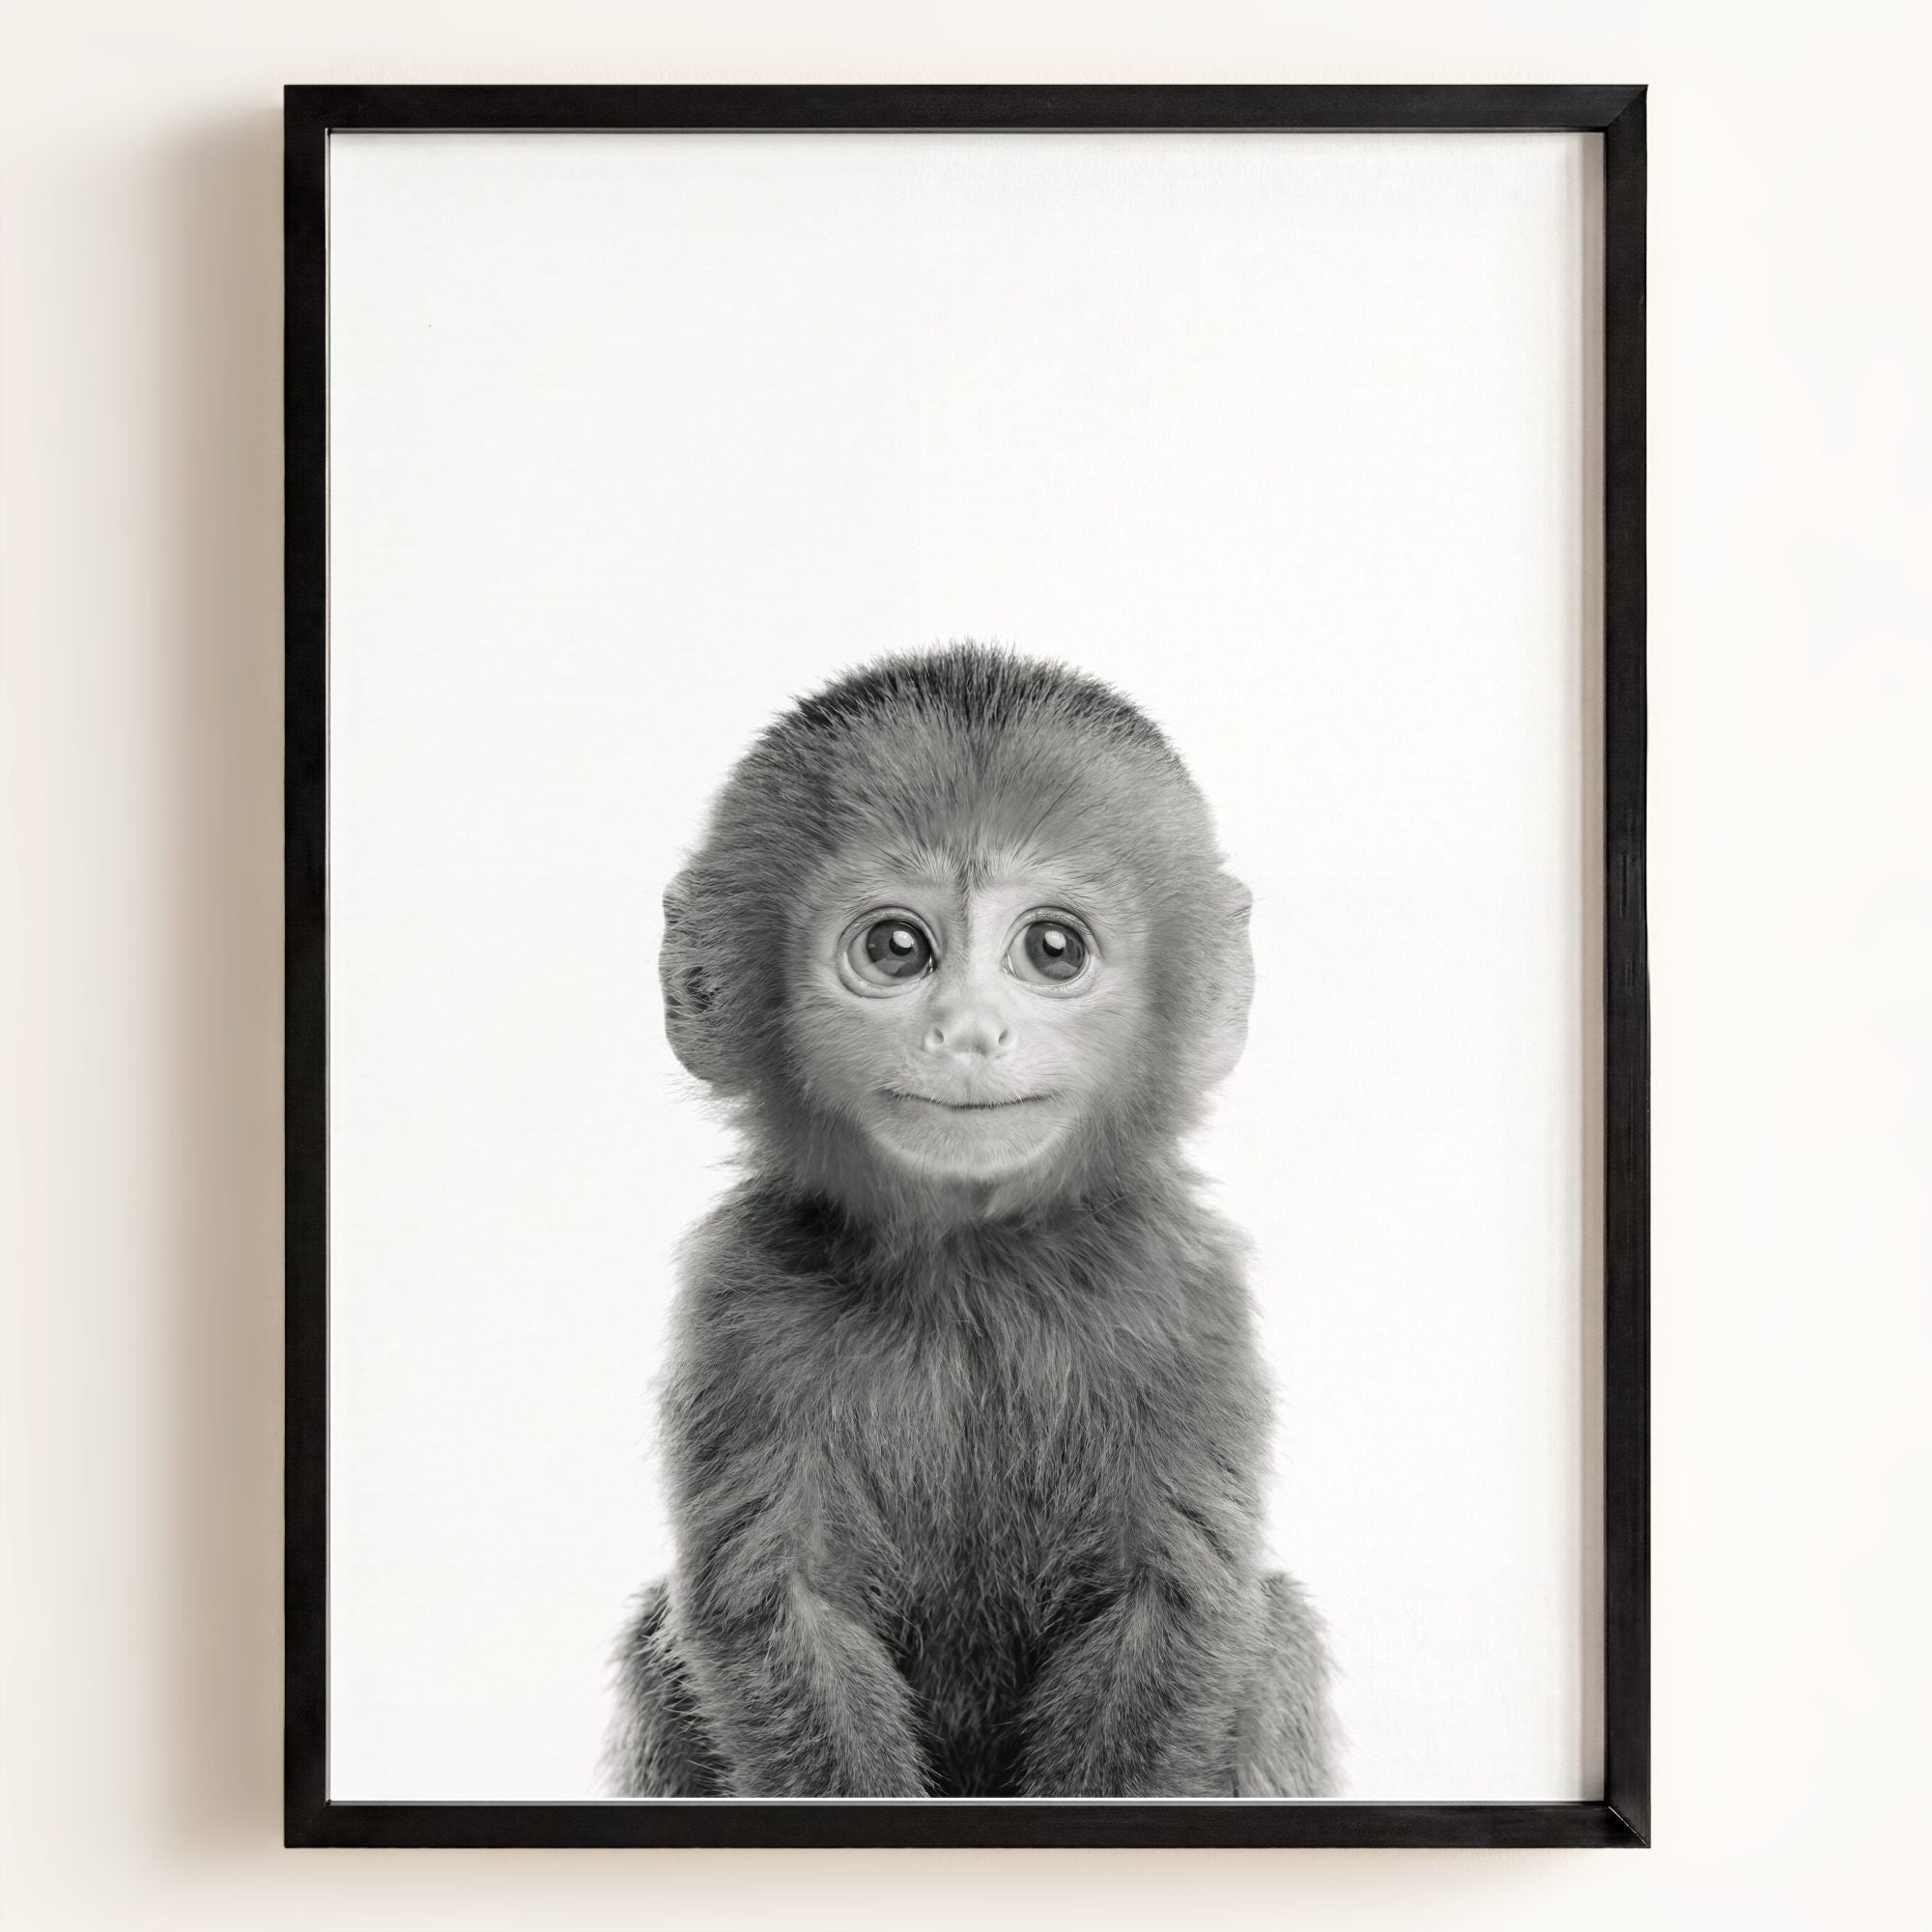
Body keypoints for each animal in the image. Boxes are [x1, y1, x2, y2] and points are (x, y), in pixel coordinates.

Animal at [602, 644, 1335, 1799]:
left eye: (1053, 948)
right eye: (898, 948)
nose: (970, 1031)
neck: (972, 1268)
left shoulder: (1185, 1289)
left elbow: (1170, 1606)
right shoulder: (738, 1295)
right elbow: (779, 1611)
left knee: (1279, 1633)